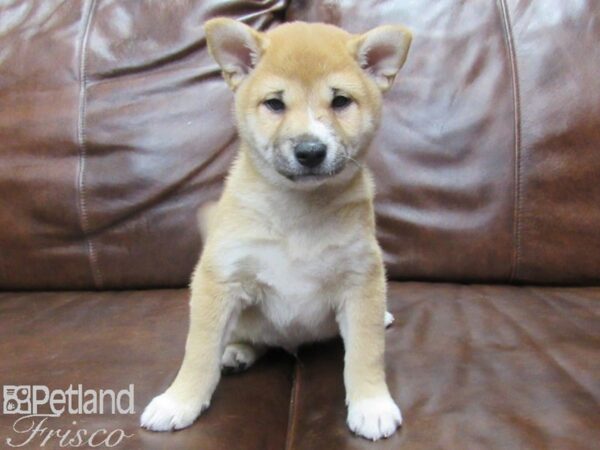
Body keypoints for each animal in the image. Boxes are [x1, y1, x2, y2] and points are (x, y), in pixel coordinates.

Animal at [142, 19, 412, 442]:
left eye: (340, 101)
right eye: (275, 104)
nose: (310, 151)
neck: (298, 211)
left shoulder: (361, 277)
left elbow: (367, 352)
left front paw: (371, 403)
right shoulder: (220, 279)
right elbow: (199, 350)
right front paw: (179, 401)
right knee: (248, 337)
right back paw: (235, 351)